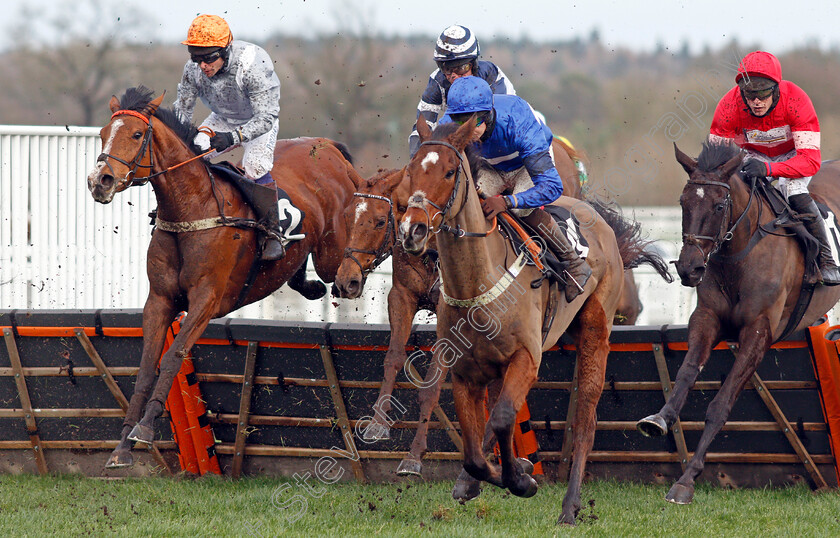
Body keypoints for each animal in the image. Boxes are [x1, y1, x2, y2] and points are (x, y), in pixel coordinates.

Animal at [87, 86, 362, 466]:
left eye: (137, 134)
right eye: (102, 134)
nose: (100, 181)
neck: (192, 209)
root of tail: (327, 146)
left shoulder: (206, 299)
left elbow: (172, 356)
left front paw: (143, 428)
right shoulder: (159, 300)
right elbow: (145, 366)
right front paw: (122, 446)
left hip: (333, 251)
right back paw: (306, 284)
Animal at [398, 118, 660, 524]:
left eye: (449, 171)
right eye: (410, 171)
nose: (413, 230)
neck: (479, 280)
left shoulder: (525, 357)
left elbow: (503, 418)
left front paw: (521, 480)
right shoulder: (465, 371)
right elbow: (474, 450)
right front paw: (495, 476)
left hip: (596, 330)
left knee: (586, 422)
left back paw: (570, 507)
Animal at [636, 141, 840, 502]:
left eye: (719, 205)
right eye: (683, 203)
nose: (689, 268)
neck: (738, 256)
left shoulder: (758, 332)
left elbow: (721, 404)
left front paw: (686, 481)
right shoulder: (706, 319)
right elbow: (686, 373)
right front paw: (660, 418)